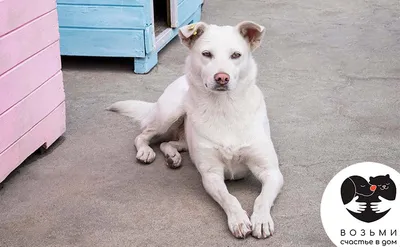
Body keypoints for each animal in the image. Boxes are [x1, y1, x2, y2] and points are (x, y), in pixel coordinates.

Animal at [108, 21, 284, 239]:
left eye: (236, 55)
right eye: (206, 54)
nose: (222, 77)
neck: (225, 108)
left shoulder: (271, 172)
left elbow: (262, 198)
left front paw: (261, 219)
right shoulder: (211, 175)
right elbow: (229, 198)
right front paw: (239, 220)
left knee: (168, 142)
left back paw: (172, 156)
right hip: (168, 113)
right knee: (143, 135)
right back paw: (146, 151)